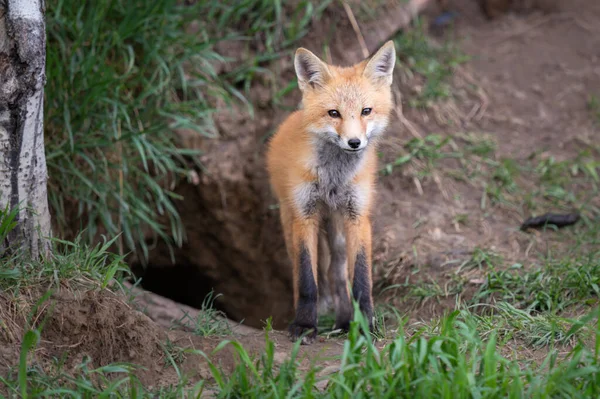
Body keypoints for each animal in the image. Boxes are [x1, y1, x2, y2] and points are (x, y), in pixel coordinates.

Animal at [268, 41, 398, 346]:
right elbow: (306, 279)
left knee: (338, 275)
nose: (354, 142)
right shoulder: (305, 215)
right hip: (290, 221)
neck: (333, 180)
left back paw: (343, 322)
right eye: (333, 113)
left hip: (338, 232)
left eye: (366, 111)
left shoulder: (358, 215)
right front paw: (305, 325)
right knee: (301, 271)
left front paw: (365, 326)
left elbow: (361, 280)